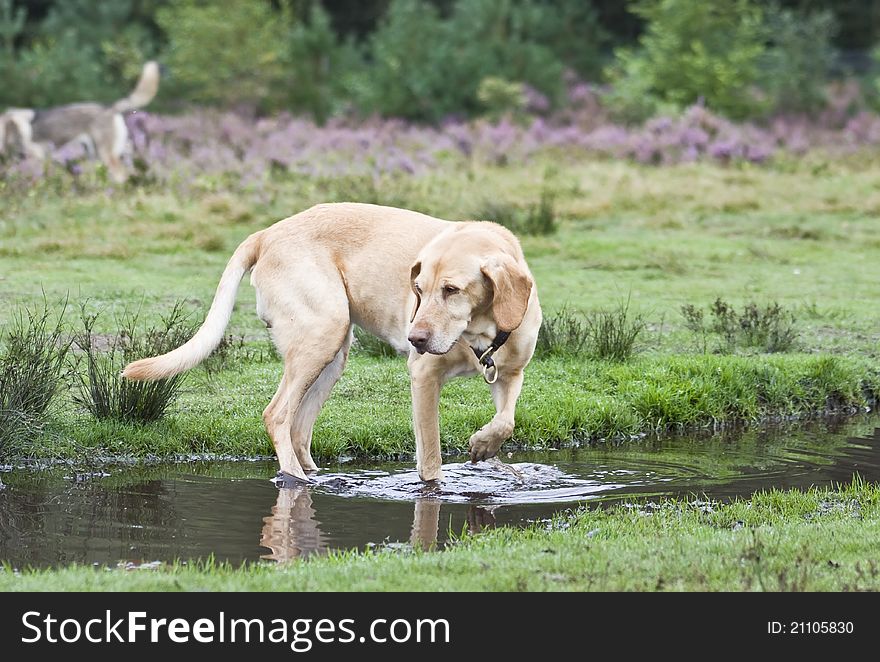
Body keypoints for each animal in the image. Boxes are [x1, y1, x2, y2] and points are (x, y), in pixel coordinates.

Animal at [120, 202, 540, 482]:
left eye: (452, 290)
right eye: (418, 290)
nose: (413, 339)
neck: (481, 330)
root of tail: (267, 233)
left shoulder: (510, 374)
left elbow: (506, 421)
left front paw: (484, 444)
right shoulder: (424, 377)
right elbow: (432, 461)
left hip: (332, 355)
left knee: (298, 429)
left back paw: (314, 475)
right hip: (323, 333)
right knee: (276, 415)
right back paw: (295, 480)